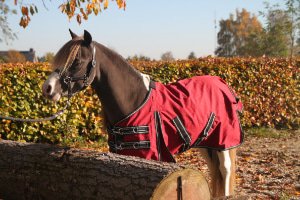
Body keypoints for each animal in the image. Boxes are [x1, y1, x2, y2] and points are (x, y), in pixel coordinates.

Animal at [42, 30, 244, 198]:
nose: (47, 88)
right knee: (214, 169)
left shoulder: (147, 155)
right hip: (204, 142)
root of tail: (222, 83)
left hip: (224, 142)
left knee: (225, 170)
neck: (134, 100)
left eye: (77, 61)